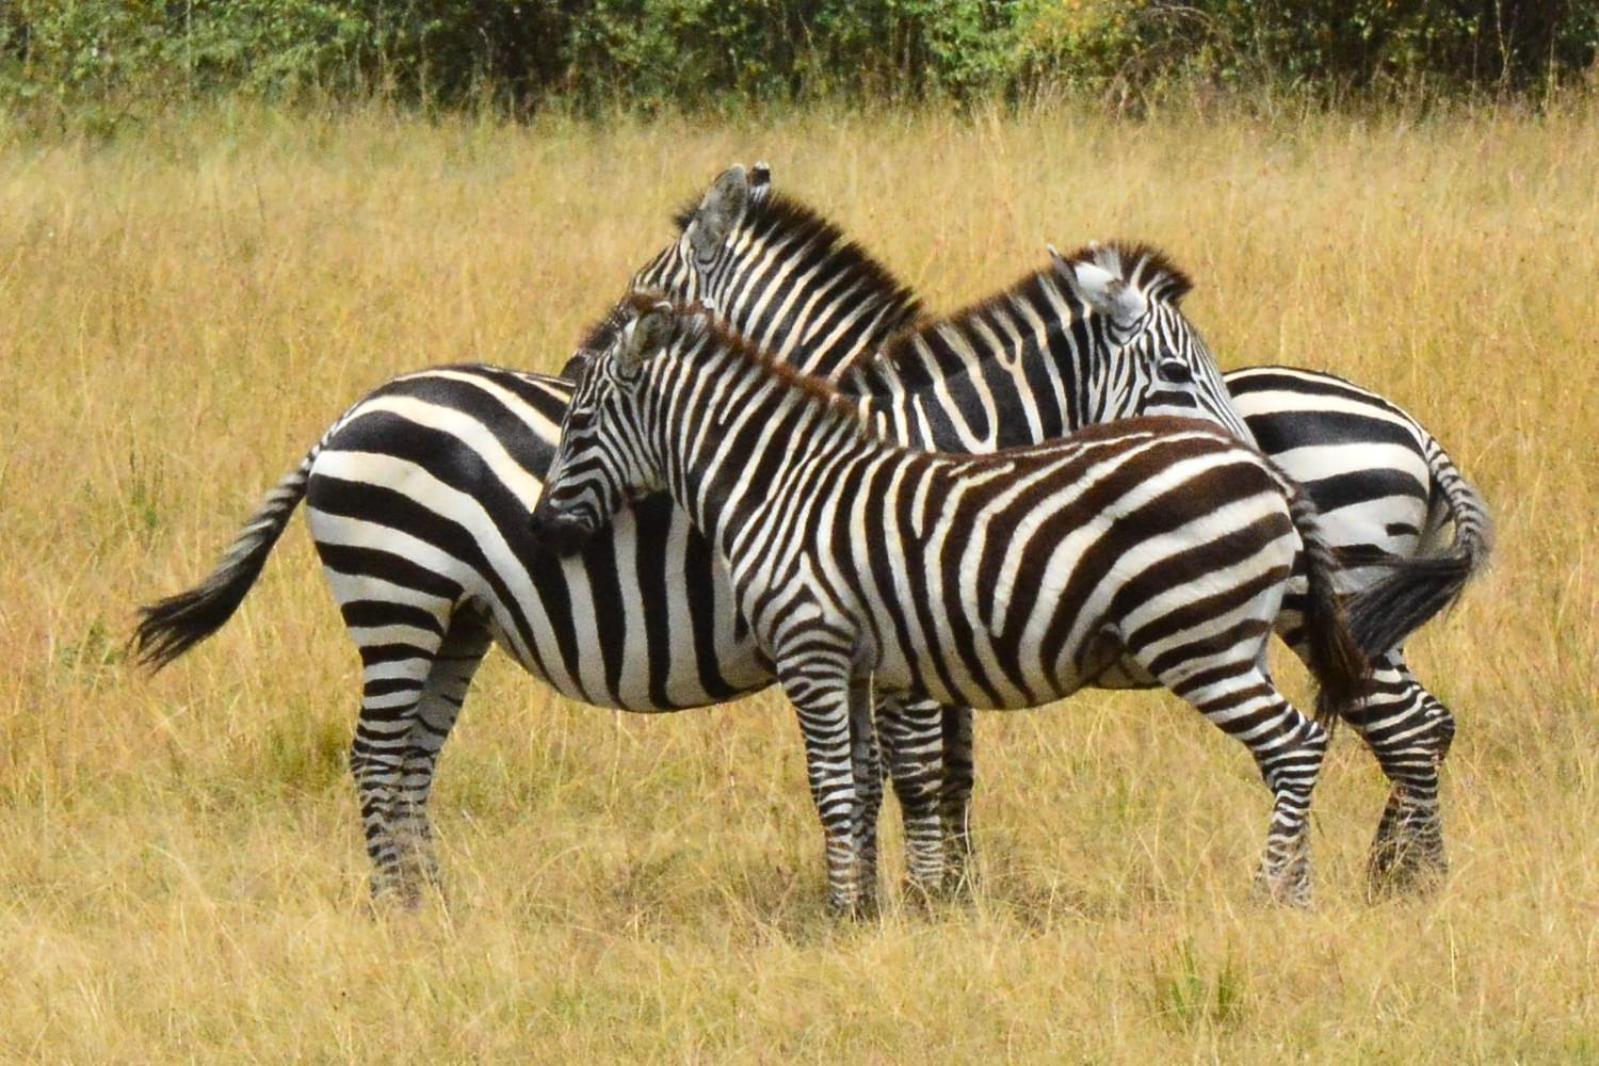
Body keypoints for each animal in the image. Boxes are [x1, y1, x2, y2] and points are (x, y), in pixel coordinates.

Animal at [530, 300, 1368, 920]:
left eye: (577, 424)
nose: (541, 531)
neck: (781, 489)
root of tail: (1265, 473)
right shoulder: (858, 661)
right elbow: (862, 784)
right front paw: (865, 907)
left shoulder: (811, 648)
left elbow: (831, 784)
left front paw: (838, 913)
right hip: (1235, 642)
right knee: (1290, 752)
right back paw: (1297, 893)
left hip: (1197, 640)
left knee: (1294, 745)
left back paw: (1266, 893)